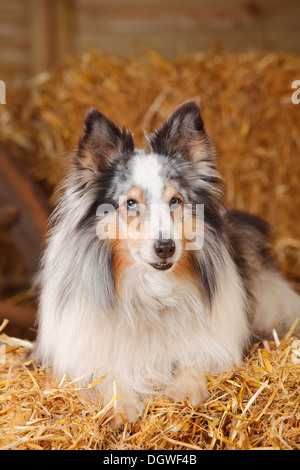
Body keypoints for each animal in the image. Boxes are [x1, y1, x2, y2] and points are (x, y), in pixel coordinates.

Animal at [32, 102, 300, 426]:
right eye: (131, 203)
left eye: (175, 200)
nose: (165, 248)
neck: (152, 292)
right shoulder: (78, 354)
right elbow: (106, 373)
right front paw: (123, 408)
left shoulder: (214, 339)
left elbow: (192, 359)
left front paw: (187, 391)